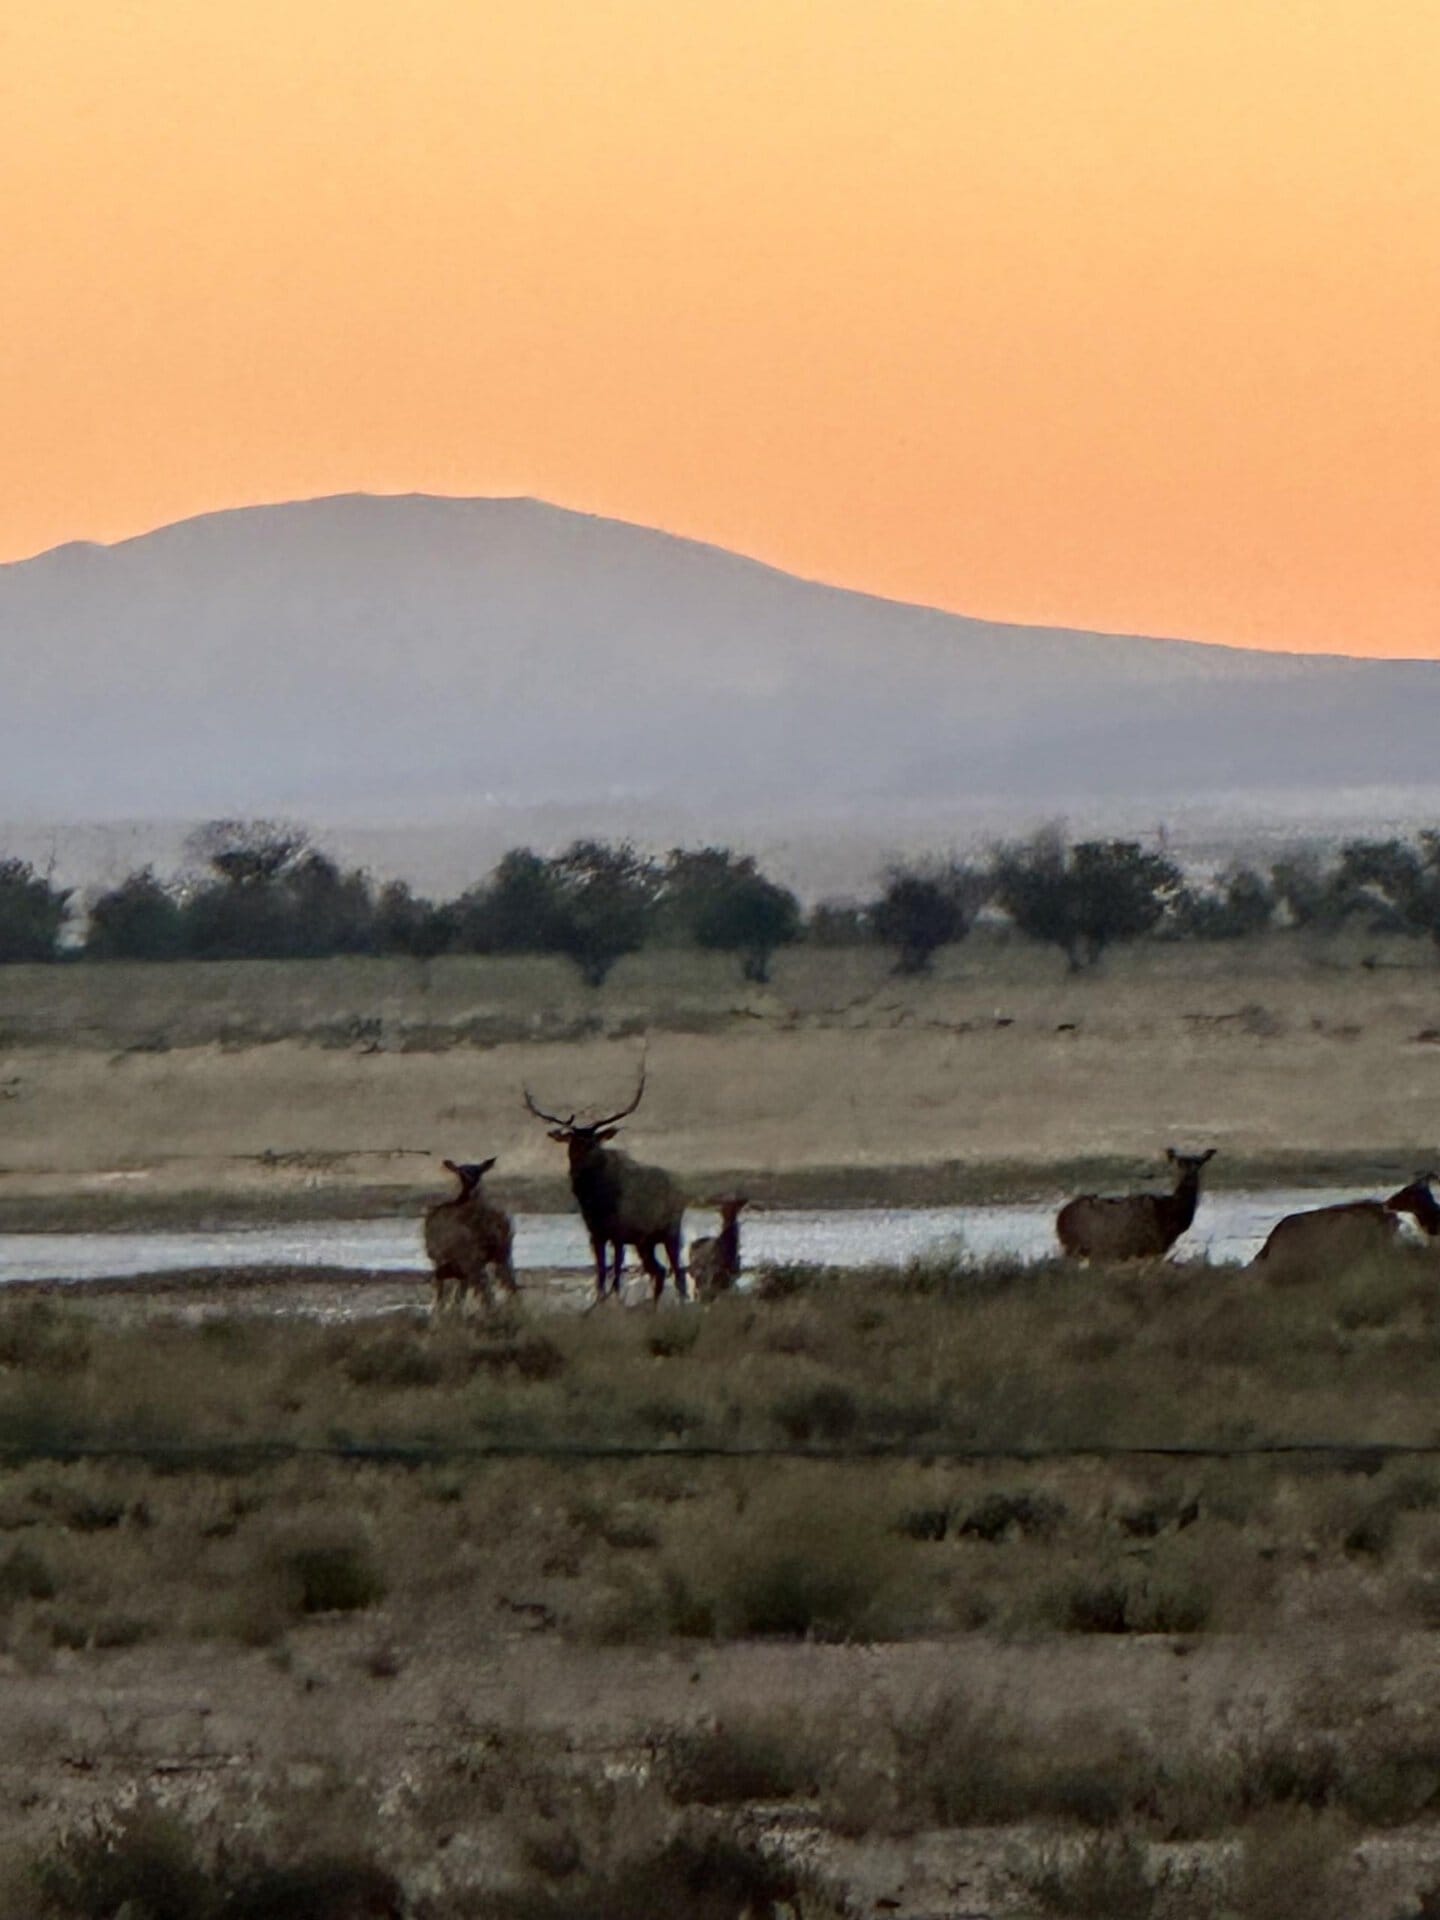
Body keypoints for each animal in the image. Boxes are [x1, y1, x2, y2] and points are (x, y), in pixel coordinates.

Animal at [423, 1157, 518, 1313]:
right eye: (463, 1172)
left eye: (474, 1171)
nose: (472, 1181)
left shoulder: (438, 1257)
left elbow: (442, 1286)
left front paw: (439, 1308)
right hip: (503, 1251)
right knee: (508, 1282)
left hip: (471, 1256)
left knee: (483, 1285)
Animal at [523, 1065, 688, 1304]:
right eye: (573, 1143)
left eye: (593, 1142)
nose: (579, 1167)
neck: (595, 1200)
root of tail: (682, 1191)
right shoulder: (596, 1233)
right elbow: (600, 1272)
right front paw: (599, 1299)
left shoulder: (619, 1232)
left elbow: (616, 1271)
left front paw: (616, 1299)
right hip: (644, 1241)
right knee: (659, 1271)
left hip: (670, 1231)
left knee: (677, 1273)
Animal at [1056, 1148, 1216, 1262]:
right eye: (1178, 1163)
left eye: (1199, 1164)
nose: (1188, 1178)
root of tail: (1059, 1218)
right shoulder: (1149, 1248)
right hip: (1075, 1246)